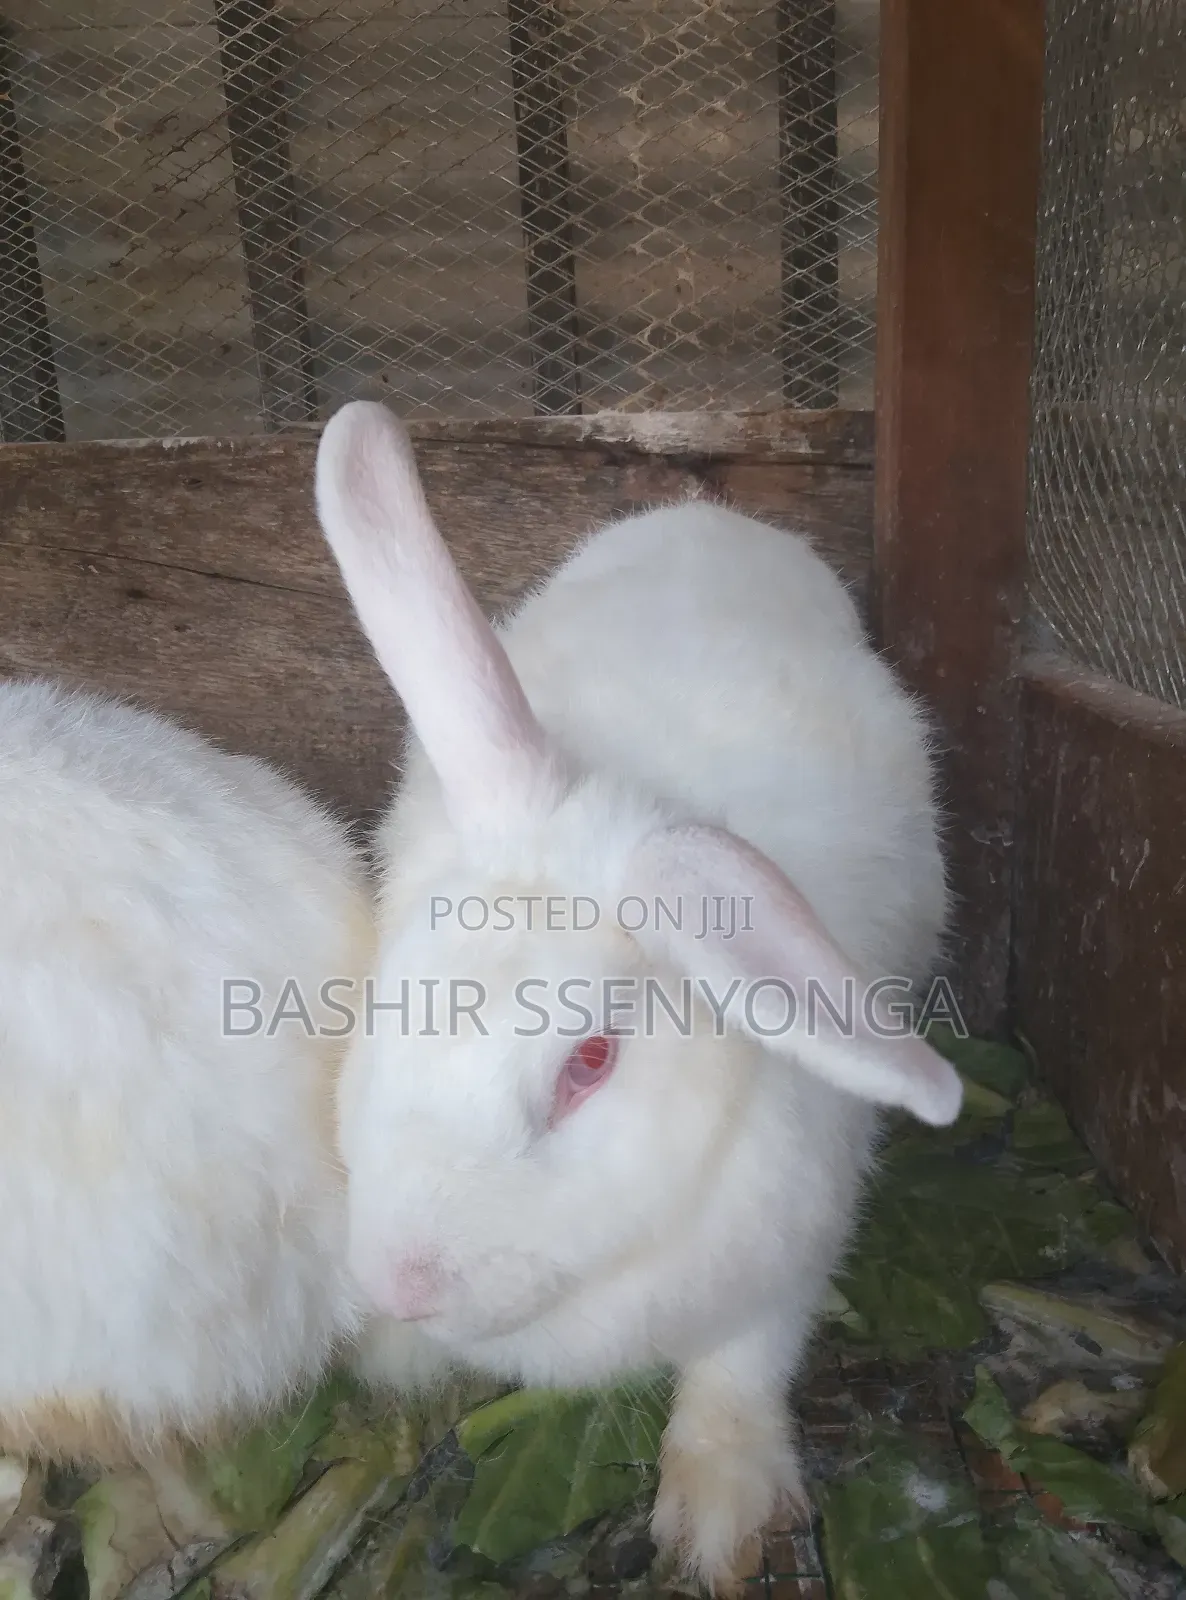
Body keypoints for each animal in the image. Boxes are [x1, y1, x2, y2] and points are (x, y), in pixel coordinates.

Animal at [313, 400, 963, 1594]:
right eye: (387, 1005)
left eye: (589, 1064)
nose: (401, 1282)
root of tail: (714, 520)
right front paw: (389, 1353)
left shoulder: (785, 1259)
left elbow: (741, 1368)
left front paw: (718, 1514)